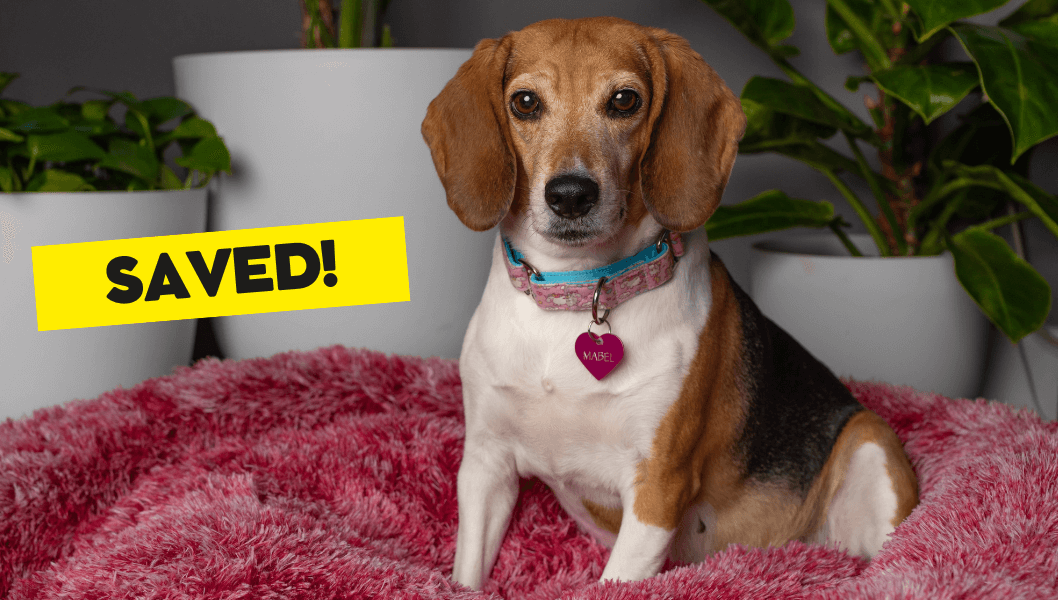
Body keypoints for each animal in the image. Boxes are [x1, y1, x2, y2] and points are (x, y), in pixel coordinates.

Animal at [421, 16, 918, 588]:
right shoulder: (485, 464)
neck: (578, 291)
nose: (571, 194)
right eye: (525, 102)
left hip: (869, 442)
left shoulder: (658, 485)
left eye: (624, 100)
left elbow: (616, 579)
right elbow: (465, 574)